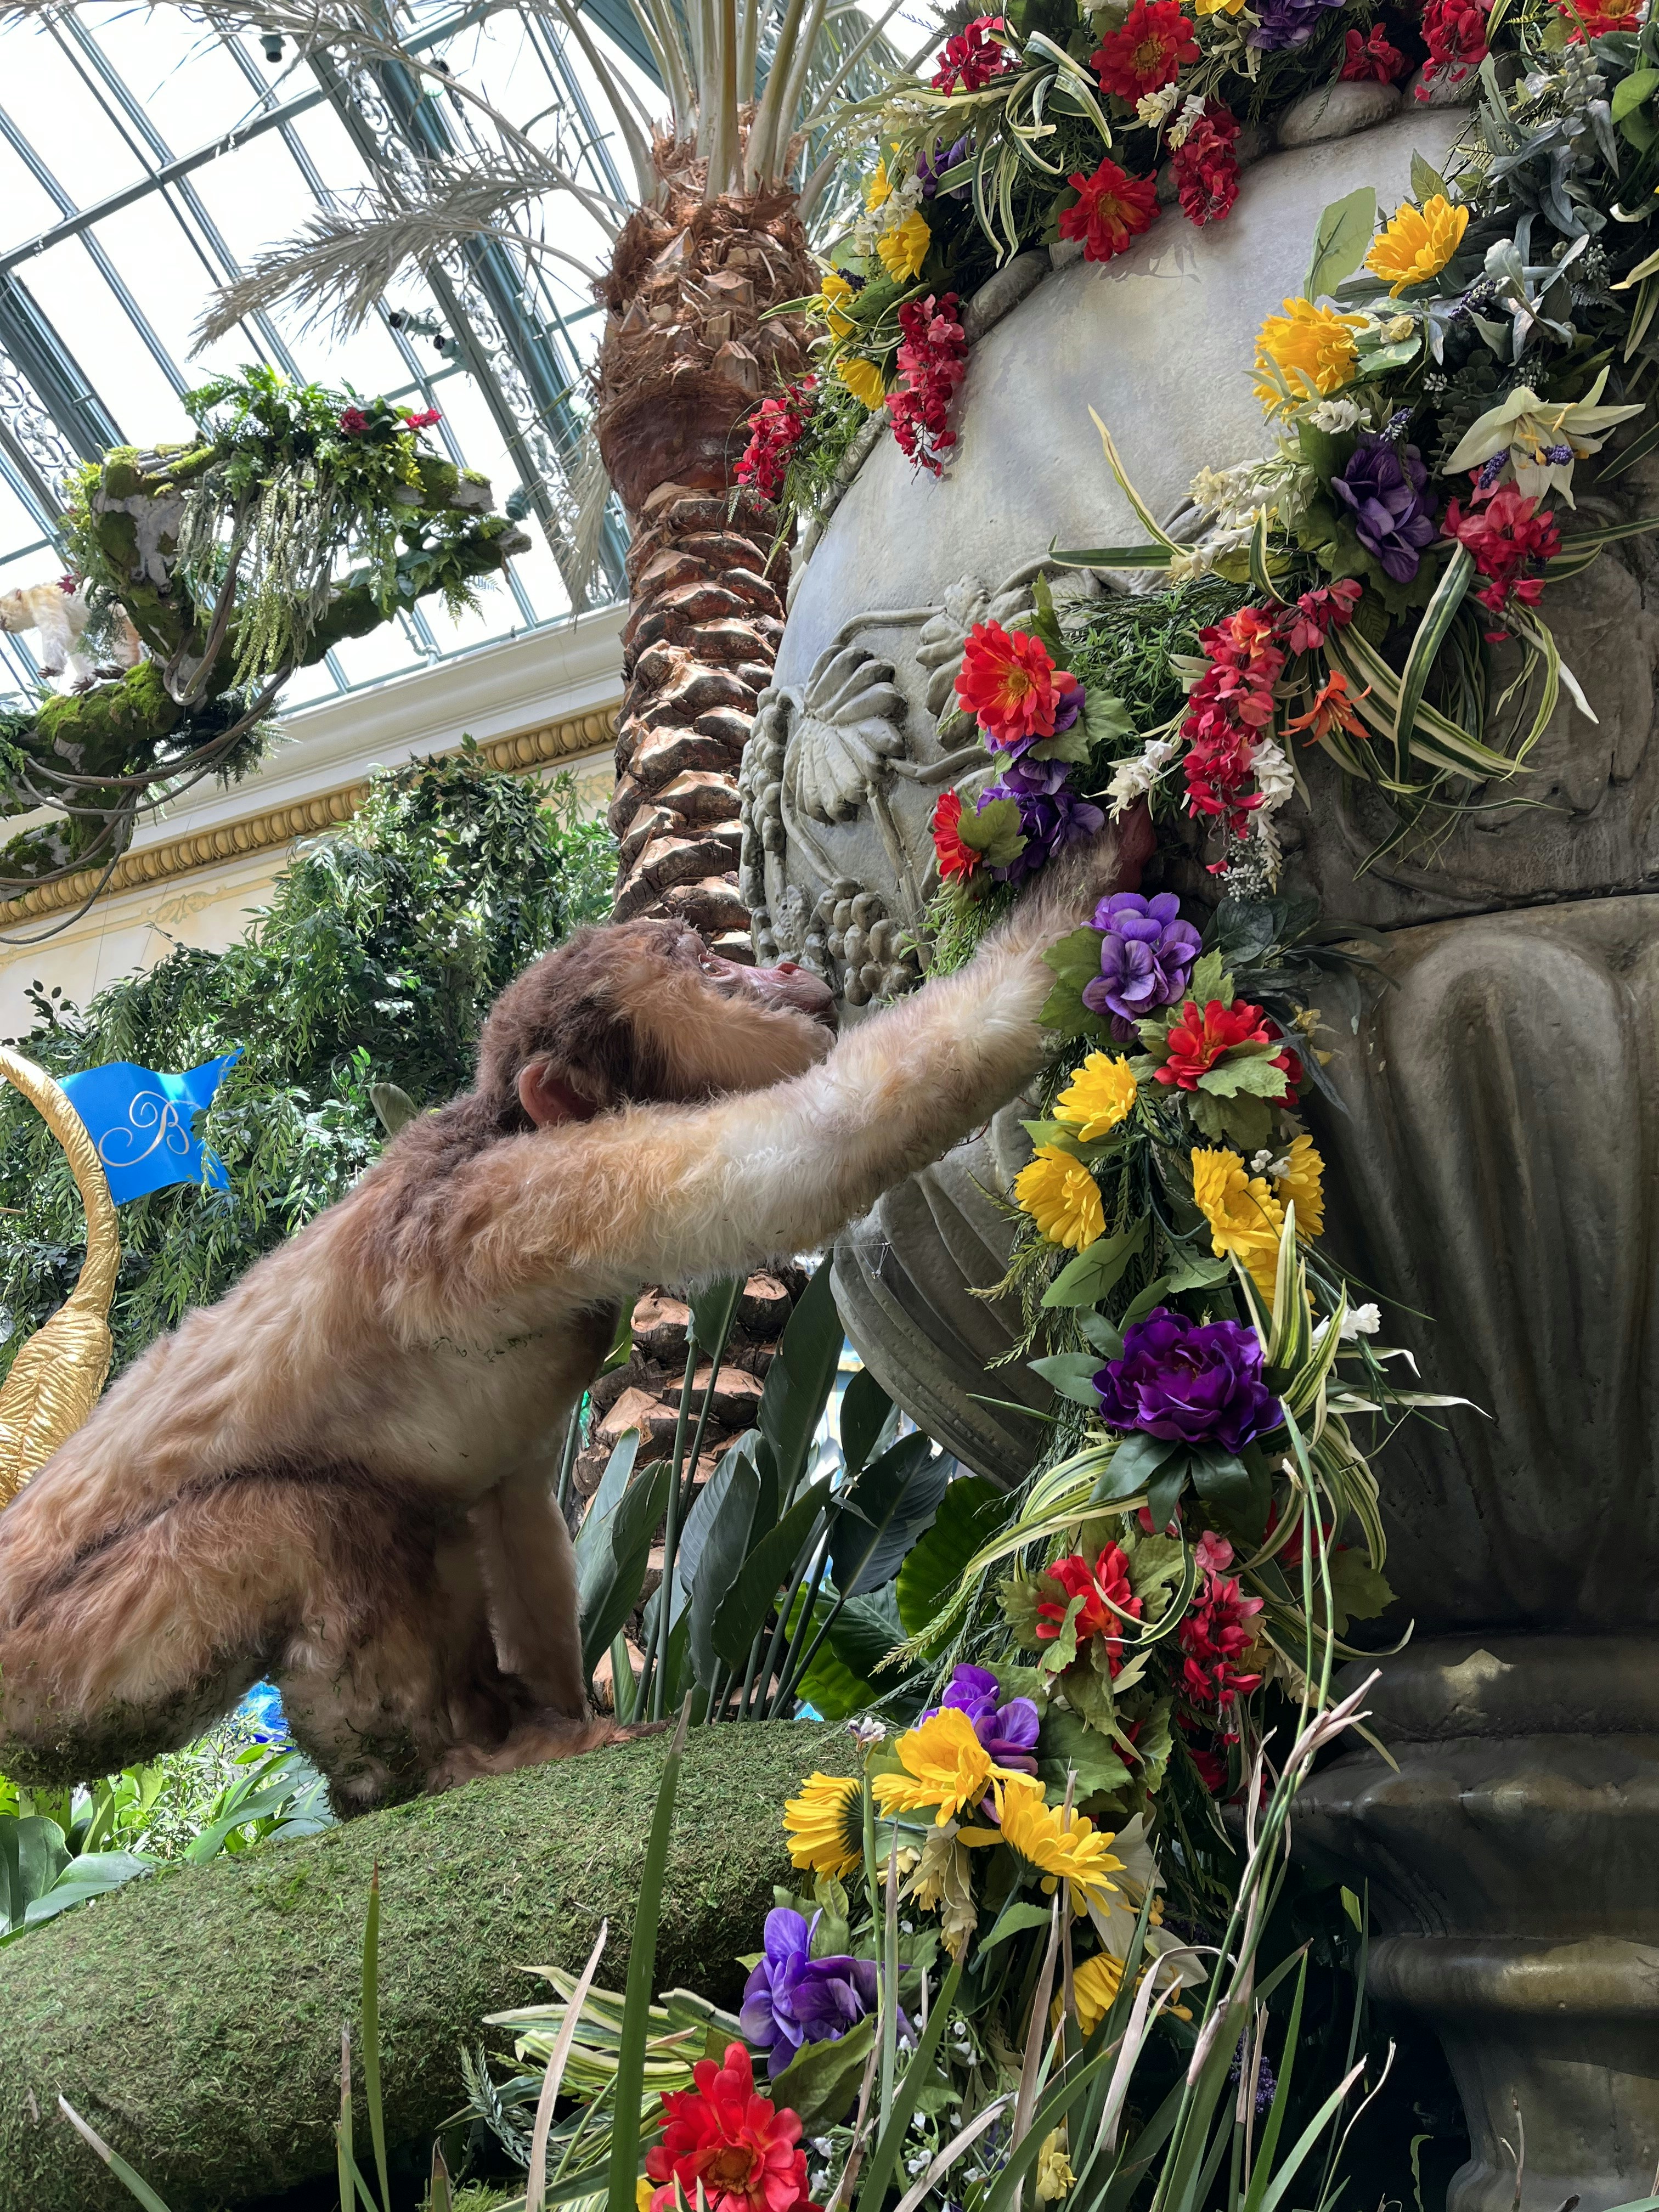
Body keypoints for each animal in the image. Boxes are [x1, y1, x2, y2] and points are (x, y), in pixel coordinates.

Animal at [0, 811, 1151, 1813]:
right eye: (700, 965)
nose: (778, 972)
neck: (496, 1125)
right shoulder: (513, 1203)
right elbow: (820, 1139)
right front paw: (1078, 904)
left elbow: (512, 1500)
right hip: (75, 1667)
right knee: (311, 1521)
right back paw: (433, 1766)